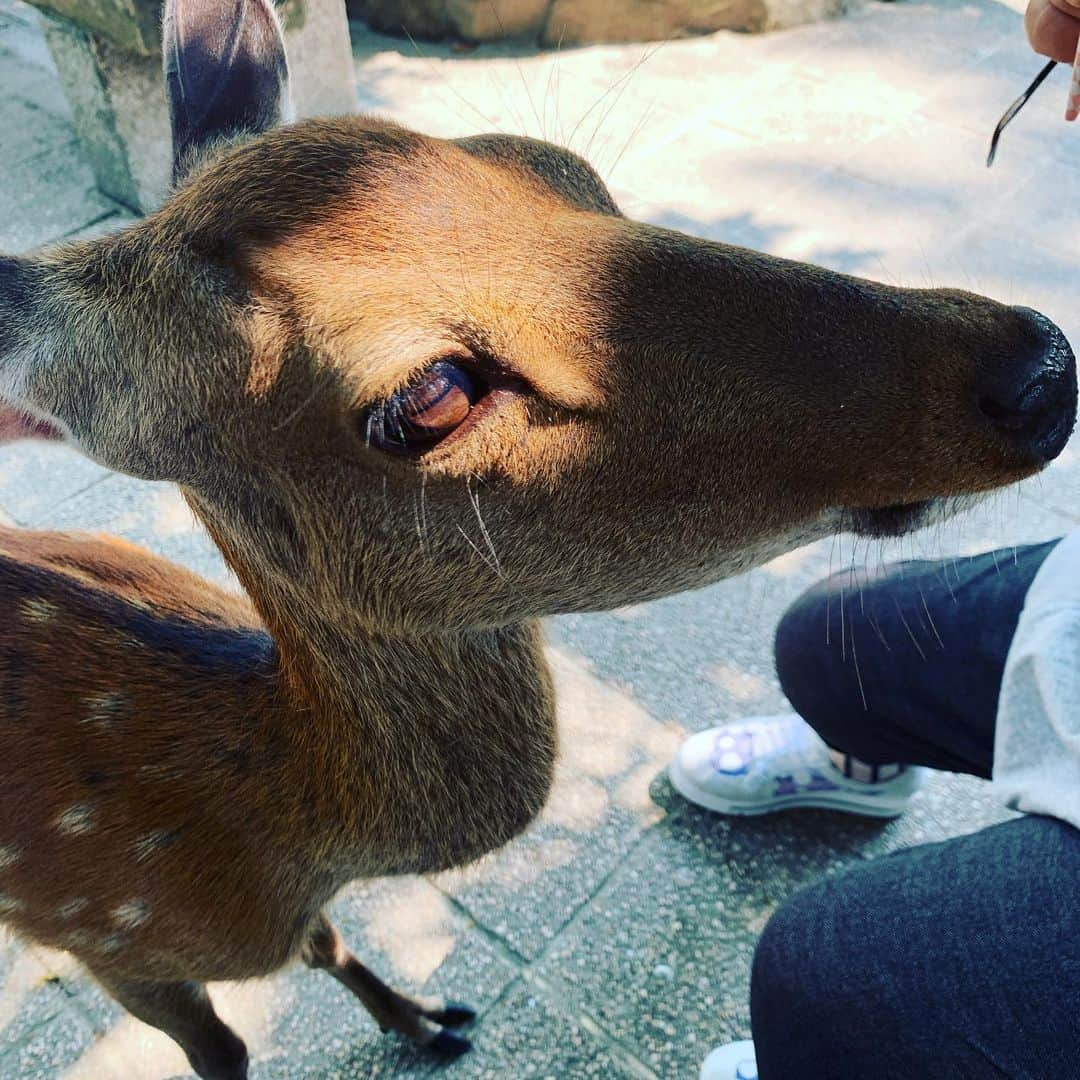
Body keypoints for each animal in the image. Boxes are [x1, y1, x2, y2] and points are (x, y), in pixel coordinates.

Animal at [0, 0, 1075, 1075]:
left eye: (561, 169)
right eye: (426, 395)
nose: (1040, 367)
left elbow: (333, 943)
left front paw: (432, 1021)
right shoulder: (111, 943)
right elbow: (225, 1047)